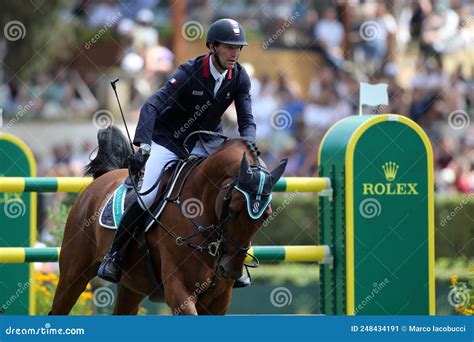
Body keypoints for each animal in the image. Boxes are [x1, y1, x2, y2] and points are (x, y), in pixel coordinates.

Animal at [51, 127, 288, 316]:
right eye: (233, 209)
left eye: (266, 215)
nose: (230, 270)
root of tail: (102, 179)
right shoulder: (179, 292)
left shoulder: (219, 300)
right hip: (73, 275)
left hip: (132, 286)